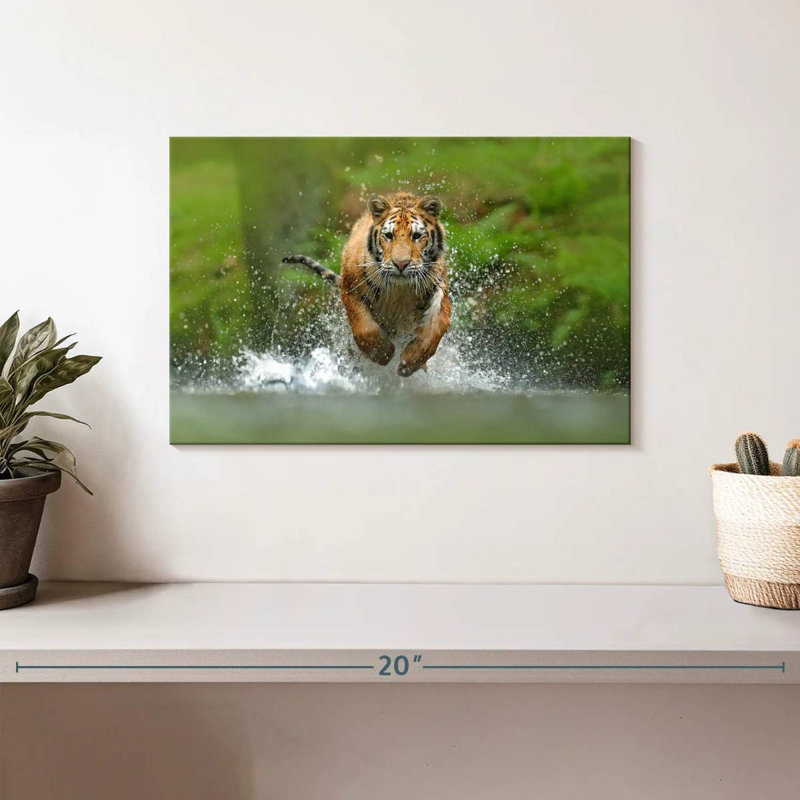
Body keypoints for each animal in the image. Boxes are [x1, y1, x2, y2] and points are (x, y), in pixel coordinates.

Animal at [284, 192, 450, 377]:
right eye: (389, 235)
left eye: (416, 236)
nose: (400, 264)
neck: (400, 289)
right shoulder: (350, 288)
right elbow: (364, 328)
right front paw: (384, 354)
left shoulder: (439, 288)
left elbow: (436, 328)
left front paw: (409, 363)